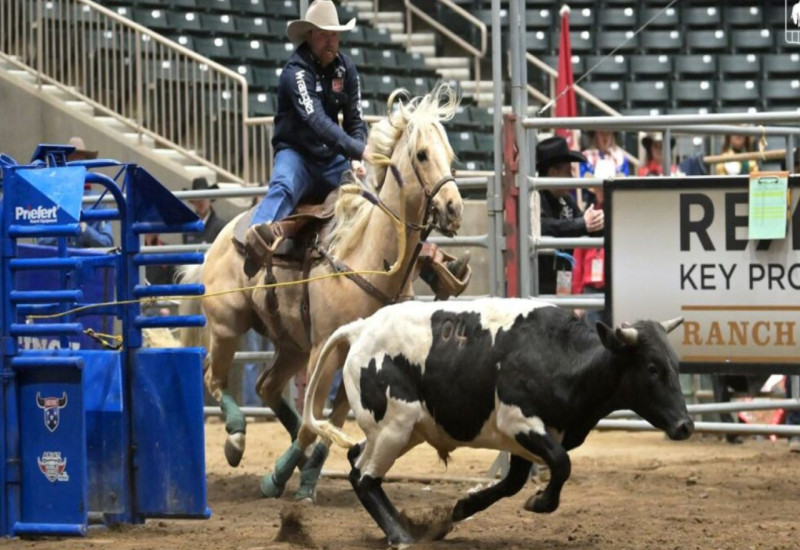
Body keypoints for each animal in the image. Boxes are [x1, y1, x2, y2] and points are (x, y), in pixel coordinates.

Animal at [177, 84, 460, 502]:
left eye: (451, 157)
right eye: (422, 155)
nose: (454, 208)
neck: (369, 259)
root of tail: (222, 238)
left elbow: (331, 422)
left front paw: (308, 476)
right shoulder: (325, 352)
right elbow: (317, 423)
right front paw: (276, 478)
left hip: (292, 345)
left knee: (266, 386)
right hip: (229, 326)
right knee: (215, 378)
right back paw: (236, 439)